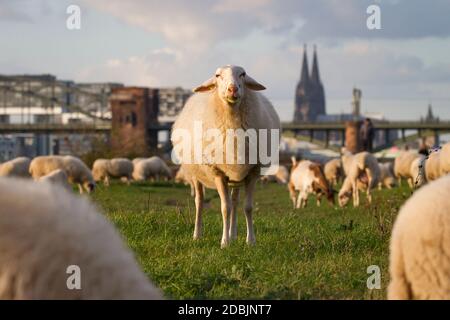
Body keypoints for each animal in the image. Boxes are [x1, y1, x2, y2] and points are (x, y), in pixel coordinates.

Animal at [171, 63, 280, 246]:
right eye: (217, 75)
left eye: (243, 74)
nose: (232, 89)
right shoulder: (218, 172)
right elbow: (224, 208)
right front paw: (224, 243)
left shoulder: (253, 171)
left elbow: (247, 207)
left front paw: (250, 241)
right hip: (195, 174)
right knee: (199, 201)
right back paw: (197, 234)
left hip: (235, 175)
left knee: (234, 201)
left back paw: (233, 234)